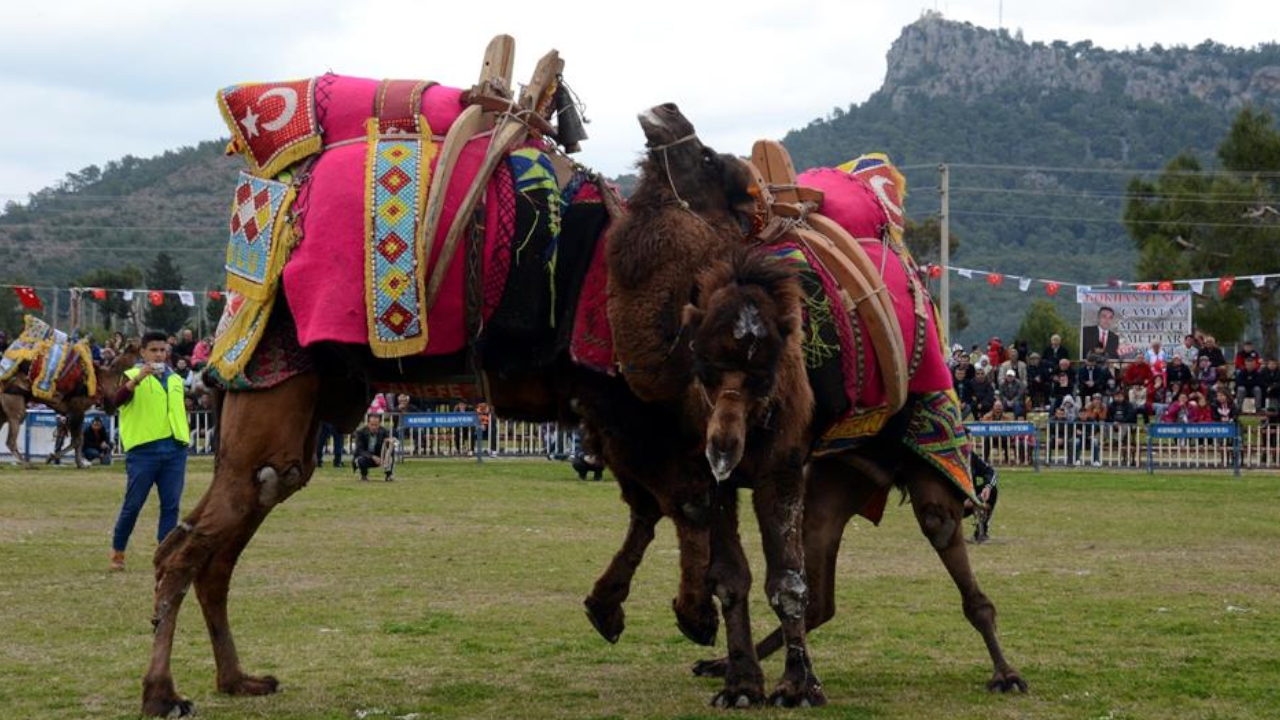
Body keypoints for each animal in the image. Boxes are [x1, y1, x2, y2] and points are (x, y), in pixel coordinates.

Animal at [601, 103, 1029, 702]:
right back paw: (734, 666)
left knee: (947, 538)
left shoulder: (777, 463)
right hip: (837, 474)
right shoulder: (716, 473)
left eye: (705, 155)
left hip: (931, 441)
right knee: (824, 592)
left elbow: (785, 582)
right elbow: (732, 579)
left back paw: (1006, 672)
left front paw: (796, 686)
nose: (665, 112)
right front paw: (742, 683)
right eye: (701, 367)